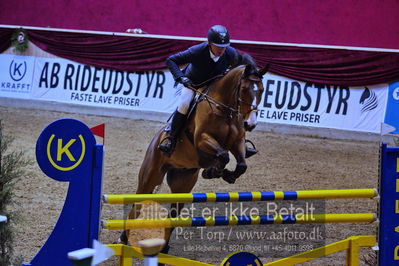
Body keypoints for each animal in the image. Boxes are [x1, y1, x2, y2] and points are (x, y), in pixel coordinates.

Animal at [122, 63, 268, 252]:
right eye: (243, 89)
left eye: (262, 90)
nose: (250, 123)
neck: (225, 110)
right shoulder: (202, 139)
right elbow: (223, 155)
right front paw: (214, 171)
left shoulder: (238, 143)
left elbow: (241, 164)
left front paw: (224, 174)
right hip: (150, 177)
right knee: (137, 206)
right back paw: (123, 238)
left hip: (182, 184)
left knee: (173, 214)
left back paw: (164, 248)